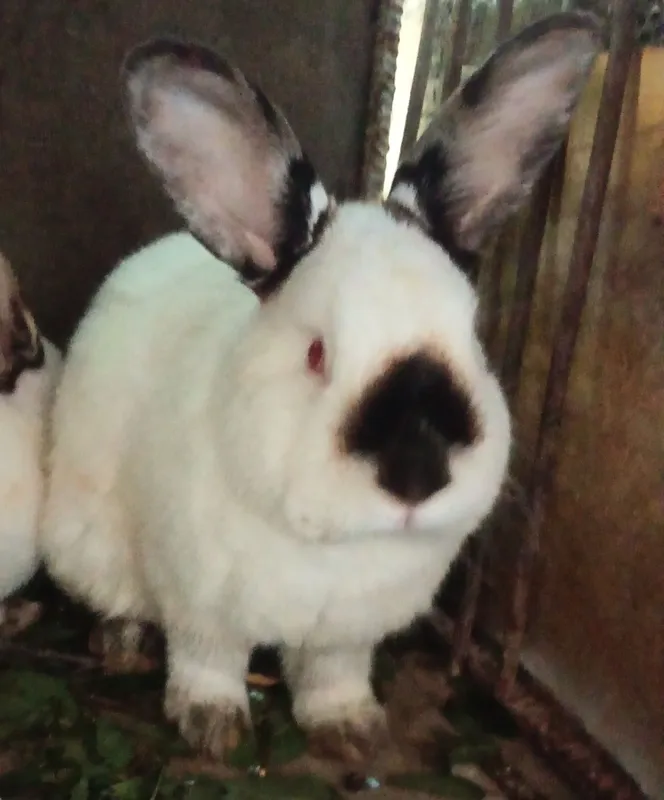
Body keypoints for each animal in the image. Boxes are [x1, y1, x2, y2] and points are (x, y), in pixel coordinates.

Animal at [40, 12, 602, 763]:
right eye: (316, 354)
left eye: (476, 340)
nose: (417, 473)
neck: (338, 543)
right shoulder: (201, 607)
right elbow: (207, 662)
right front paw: (214, 727)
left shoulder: (350, 633)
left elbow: (334, 674)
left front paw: (351, 731)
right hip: (89, 543)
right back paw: (123, 642)